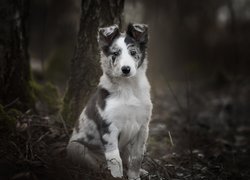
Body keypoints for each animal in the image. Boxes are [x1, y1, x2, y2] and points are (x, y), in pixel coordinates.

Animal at [67, 23, 152, 180]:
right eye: (115, 53)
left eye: (133, 52)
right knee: (97, 164)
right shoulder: (109, 127)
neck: (128, 87)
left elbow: (137, 157)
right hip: (75, 147)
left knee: (127, 159)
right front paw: (117, 177)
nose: (126, 69)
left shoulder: (143, 127)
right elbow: (115, 160)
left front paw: (135, 176)